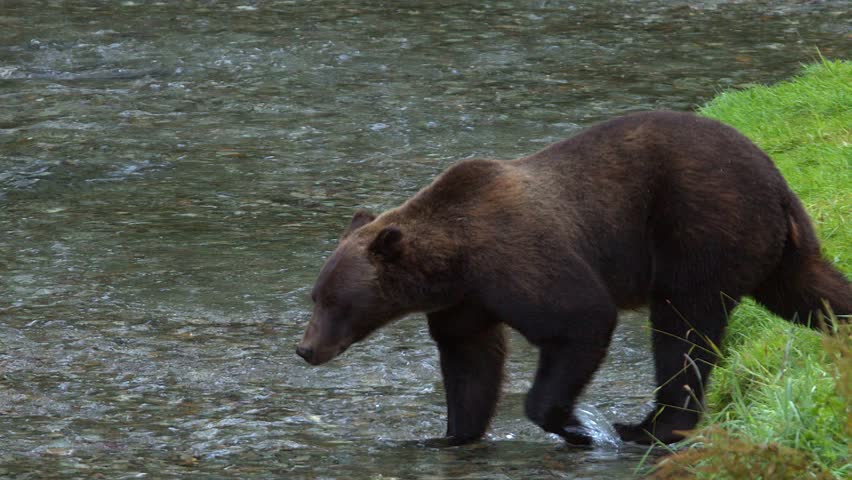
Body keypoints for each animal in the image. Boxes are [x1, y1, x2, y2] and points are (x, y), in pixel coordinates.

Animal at [296, 110, 851, 446]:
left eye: (334, 301)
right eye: (315, 296)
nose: (305, 349)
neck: (455, 263)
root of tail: (777, 180)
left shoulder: (516, 260)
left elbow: (580, 318)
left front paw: (574, 425)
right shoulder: (464, 304)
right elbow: (471, 364)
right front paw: (451, 433)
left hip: (700, 228)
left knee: (683, 329)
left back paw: (650, 427)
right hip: (780, 252)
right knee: (814, 292)